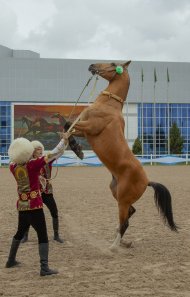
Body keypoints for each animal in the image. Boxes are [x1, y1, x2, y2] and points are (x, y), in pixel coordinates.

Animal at [72, 61, 179, 249]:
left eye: (113, 64)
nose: (92, 65)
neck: (108, 105)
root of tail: (147, 181)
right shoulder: (83, 131)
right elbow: (67, 128)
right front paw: (76, 149)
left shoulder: (89, 128)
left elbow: (66, 125)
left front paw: (75, 148)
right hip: (117, 195)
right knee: (131, 212)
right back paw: (121, 242)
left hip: (122, 200)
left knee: (125, 222)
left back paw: (113, 247)